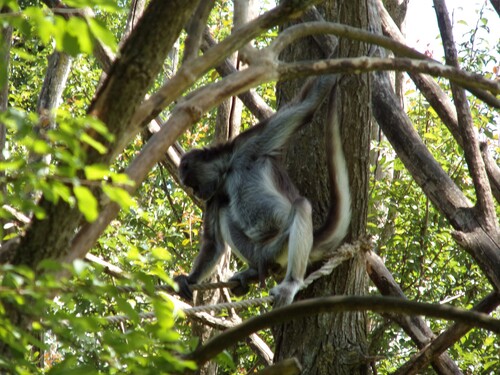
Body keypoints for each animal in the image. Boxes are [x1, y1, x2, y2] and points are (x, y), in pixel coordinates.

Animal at [176, 76, 352, 308]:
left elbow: (306, 105)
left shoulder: (248, 146)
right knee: (224, 208)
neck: (229, 170)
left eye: (192, 184)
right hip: (257, 251)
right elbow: (213, 243)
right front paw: (189, 279)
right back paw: (252, 272)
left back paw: (291, 282)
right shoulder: (214, 194)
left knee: (301, 205)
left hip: (278, 246)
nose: (197, 194)